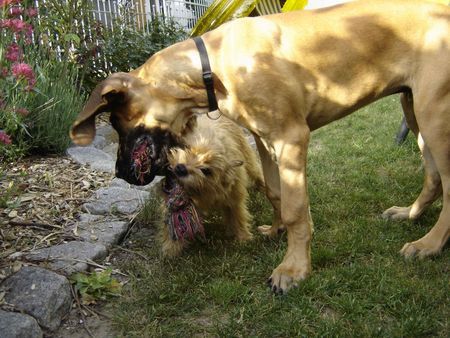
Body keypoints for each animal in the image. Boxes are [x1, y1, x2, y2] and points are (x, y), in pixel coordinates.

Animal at [71, 0, 450, 294]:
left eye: (117, 123)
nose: (120, 173)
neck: (210, 67)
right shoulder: (265, 140)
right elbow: (274, 190)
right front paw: (277, 230)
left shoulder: (291, 138)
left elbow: (297, 208)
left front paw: (293, 269)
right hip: (413, 107)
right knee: (433, 177)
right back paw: (410, 215)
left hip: (434, 115)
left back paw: (429, 245)